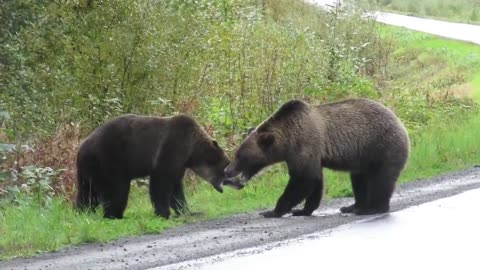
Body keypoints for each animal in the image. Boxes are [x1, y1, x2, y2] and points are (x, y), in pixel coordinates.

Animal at [76, 114, 232, 219]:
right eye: (225, 172)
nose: (224, 188)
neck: (192, 152)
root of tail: (81, 149)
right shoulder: (172, 147)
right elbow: (161, 181)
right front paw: (163, 213)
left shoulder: (180, 164)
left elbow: (176, 188)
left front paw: (187, 211)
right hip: (110, 161)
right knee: (116, 190)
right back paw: (115, 215)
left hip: (89, 170)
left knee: (87, 194)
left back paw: (83, 213)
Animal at [224, 98, 408, 218]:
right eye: (236, 153)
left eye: (240, 156)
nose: (227, 170)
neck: (287, 141)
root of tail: (400, 122)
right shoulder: (303, 155)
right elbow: (315, 180)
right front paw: (303, 210)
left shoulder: (305, 145)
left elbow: (303, 179)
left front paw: (273, 211)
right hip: (363, 158)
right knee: (359, 180)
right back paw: (352, 206)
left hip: (382, 147)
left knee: (381, 180)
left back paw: (374, 208)